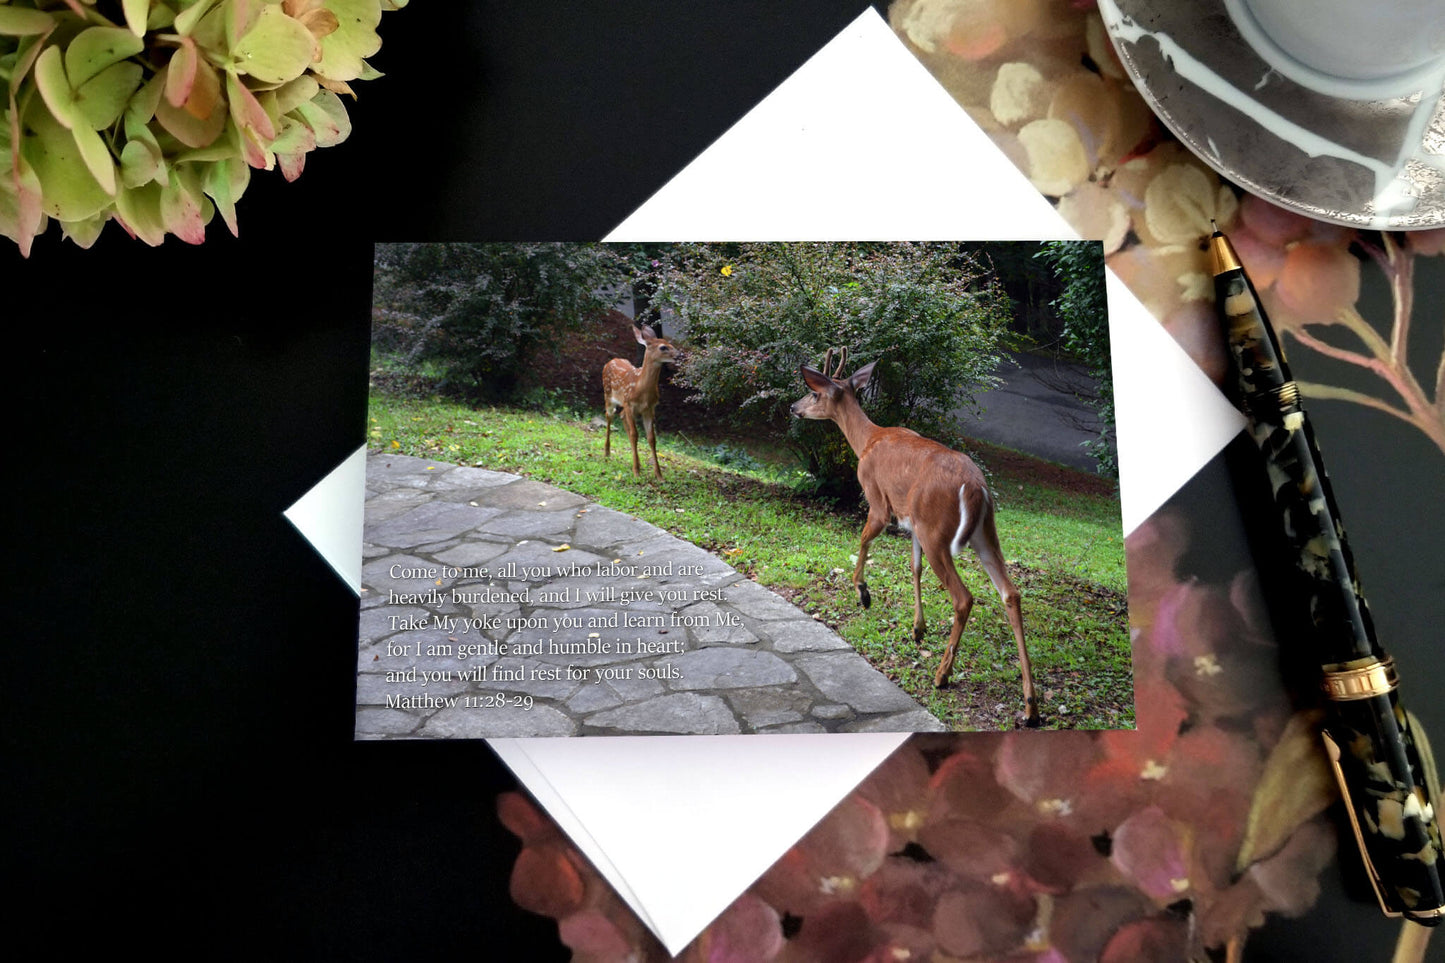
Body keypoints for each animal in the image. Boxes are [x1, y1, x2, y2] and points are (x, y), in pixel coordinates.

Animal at [604, 322, 682, 480]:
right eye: (663, 347)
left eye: (670, 343)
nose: (680, 355)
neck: (641, 389)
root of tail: (610, 361)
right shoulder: (629, 403)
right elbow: (635, 435)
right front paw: (636, 472)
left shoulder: (649, 409)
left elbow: (651, 438)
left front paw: (659, 475)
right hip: (608, 395)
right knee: (609, 416)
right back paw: (607, 452)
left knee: (621, 415)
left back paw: (637, 461)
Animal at [791, 348, 1040, 722]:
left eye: (814, 393)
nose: (794, 407)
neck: (866, 441)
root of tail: (976, 487)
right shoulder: (912, 524)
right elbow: (914, 567)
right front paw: (918, 628)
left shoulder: (879, 501)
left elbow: (863, 540)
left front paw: (863, 591)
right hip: (984, 533)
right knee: (1011, 593)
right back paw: (1030, 705)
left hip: (938, 531)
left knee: (963, 598)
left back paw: (942, 675)